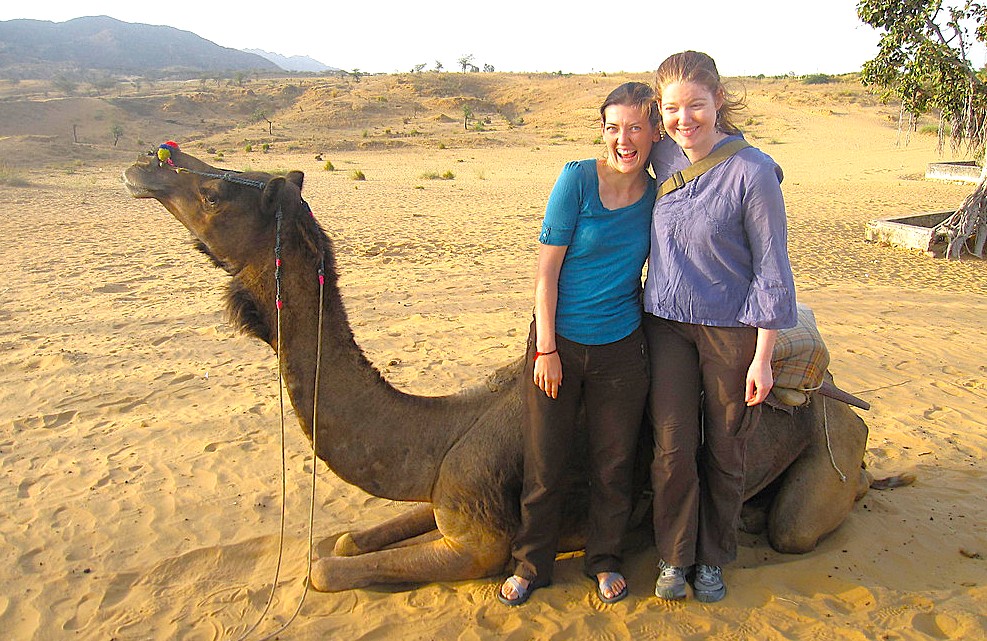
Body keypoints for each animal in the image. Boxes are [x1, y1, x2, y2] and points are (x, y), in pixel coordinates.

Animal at [123, 145, 871, 593]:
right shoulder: (445, 496)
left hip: (828, 446)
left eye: (215, 193)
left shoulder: (478, 544)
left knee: (797, 524)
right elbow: (349, 534)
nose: (144, 166)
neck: (438, 430)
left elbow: (321, 570)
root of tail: (834, 393)